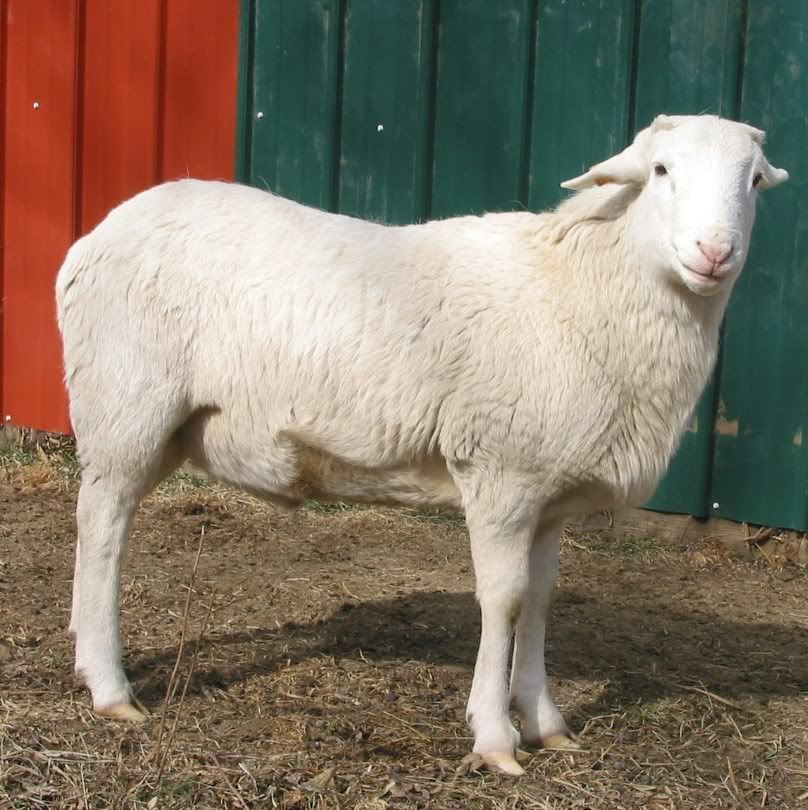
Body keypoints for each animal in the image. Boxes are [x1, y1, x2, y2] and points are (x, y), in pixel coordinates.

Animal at [56, 114, 787, 775]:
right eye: (661, 171)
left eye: (753, 181)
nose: (714, 252)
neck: (582, 287)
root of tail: (95, 235)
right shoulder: (500, 469)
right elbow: (505, 599)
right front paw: (494, 737)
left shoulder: (549, 493)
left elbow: (541, 597)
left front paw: (545, 721)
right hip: (126, 401)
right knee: (103, 527)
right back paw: (110, 685)